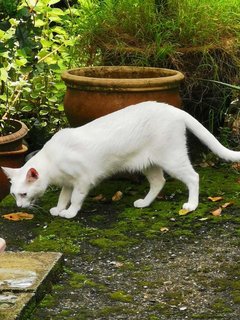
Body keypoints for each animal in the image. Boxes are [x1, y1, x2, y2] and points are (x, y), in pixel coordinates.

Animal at [1, 101, 240, 219]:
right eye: (13, 195)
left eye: (23, 194)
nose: (19, 205)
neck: (52, 161)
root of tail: (173, 109)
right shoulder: (68, 182)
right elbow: (63, 196)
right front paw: (59, 209)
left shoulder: (83, 180)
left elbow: (75, 198)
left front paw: (69, 213)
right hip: (150, 163)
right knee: (159, 182)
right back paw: (144, 203)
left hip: (172, 157)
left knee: (193, 177)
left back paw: (191, 205)